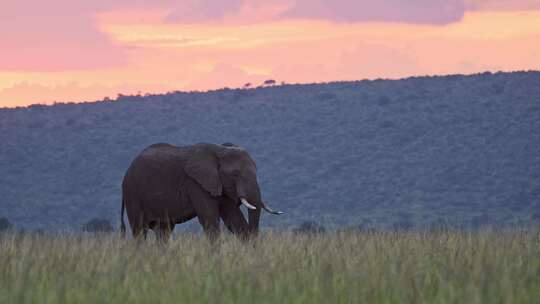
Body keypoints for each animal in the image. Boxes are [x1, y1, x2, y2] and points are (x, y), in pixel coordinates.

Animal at [119, 141, 282, 241]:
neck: (220, 150)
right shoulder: (196, 184)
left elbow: (234, 219)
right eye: (235, 175)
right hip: (133, 193)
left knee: (163, 231)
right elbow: (210, 219)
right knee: (140, 231)